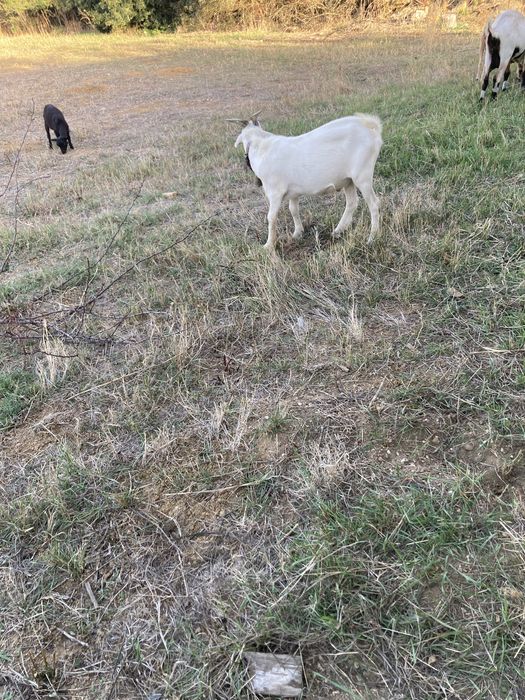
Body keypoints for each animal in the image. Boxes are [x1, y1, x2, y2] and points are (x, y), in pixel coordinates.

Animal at [228, 112, 382, 251]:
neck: (261, 146)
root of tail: (371, 126)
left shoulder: (275, 192)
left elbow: (271, 217)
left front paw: (268, 245)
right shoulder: (293, 193)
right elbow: (293, 210)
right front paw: (297, 233)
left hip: (362, 175)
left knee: (374, 204)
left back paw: (372, 238)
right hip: (348, 180)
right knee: (352, 203)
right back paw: (337, 231)